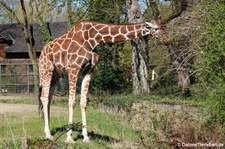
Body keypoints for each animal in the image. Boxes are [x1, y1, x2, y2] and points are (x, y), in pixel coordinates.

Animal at [38, 16, 169, 143]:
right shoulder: (73, 69)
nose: (167, 41)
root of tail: (42, 53)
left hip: (56, 74)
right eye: (156, 28)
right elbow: (71, 101)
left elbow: (83, 102)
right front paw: (69, 138)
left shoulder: (88, 71)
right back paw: (48, 135)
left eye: (164, 27)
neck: (94, 39)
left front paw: (86, 137)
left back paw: (48, 132)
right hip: (46, 70)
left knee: (49, 98)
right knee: (44, 97)